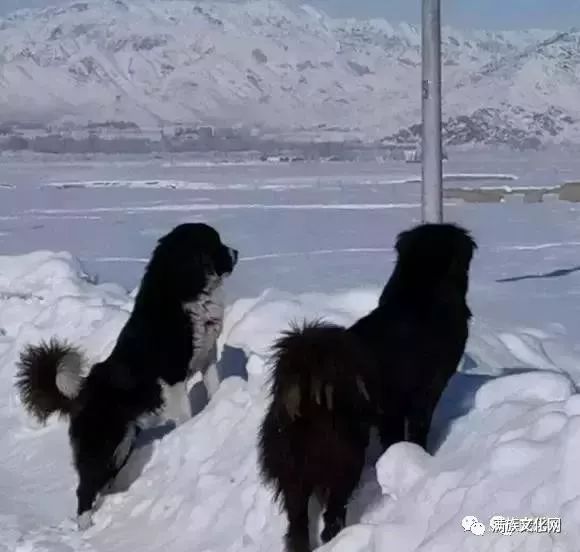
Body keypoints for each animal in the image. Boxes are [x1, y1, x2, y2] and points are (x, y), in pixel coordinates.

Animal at [15, 222, 238, 530]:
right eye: (215, 243)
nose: (236, 252)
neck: (183, 289)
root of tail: (80, 395)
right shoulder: (172, 375)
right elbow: (184, 410)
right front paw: (191, 427)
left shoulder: (206, 357)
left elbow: (214, 385)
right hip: (104, 443)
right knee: (84, 488)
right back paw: (85, 526)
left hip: (123, 442)